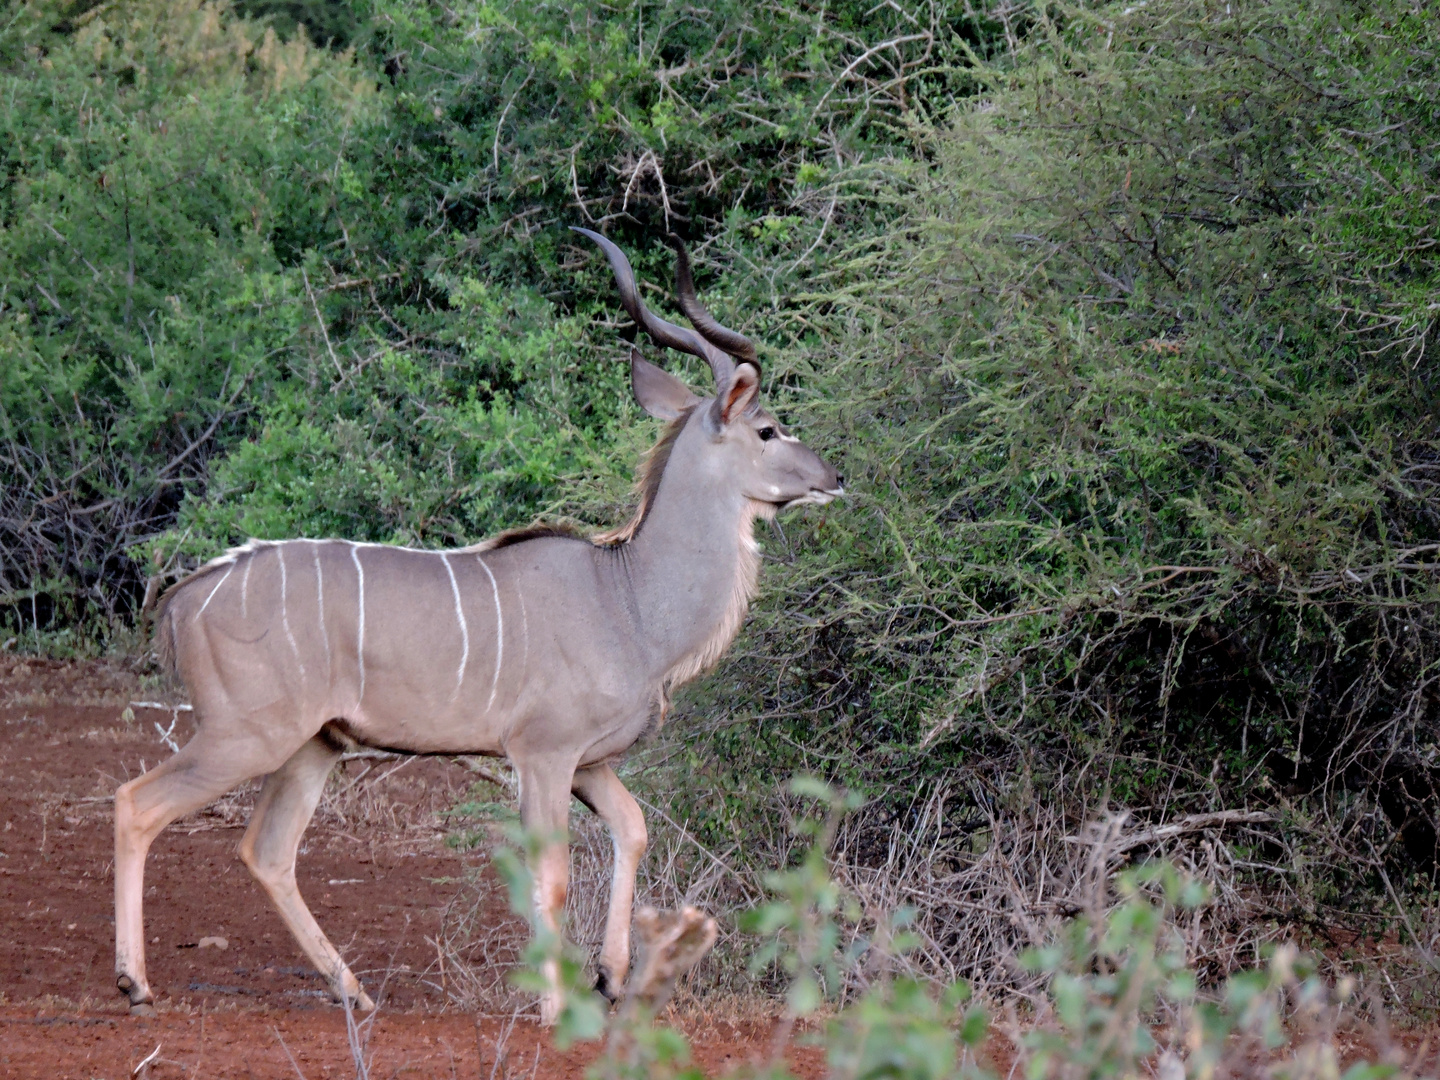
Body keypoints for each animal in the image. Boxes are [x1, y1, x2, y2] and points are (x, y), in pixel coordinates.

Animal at [118, 228, 846, 1025]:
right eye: (768, 427)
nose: (833, 477)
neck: (626, 597)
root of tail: (185, 598)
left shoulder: (588, 762)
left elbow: (633, 829)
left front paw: (610, 976)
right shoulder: (543, 753)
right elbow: (552, 873)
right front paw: (556, 1004)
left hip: (315, 745)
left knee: (267, 850)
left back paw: (353, 990)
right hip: (245, 736)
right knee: (137, 804)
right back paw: (135, 983)